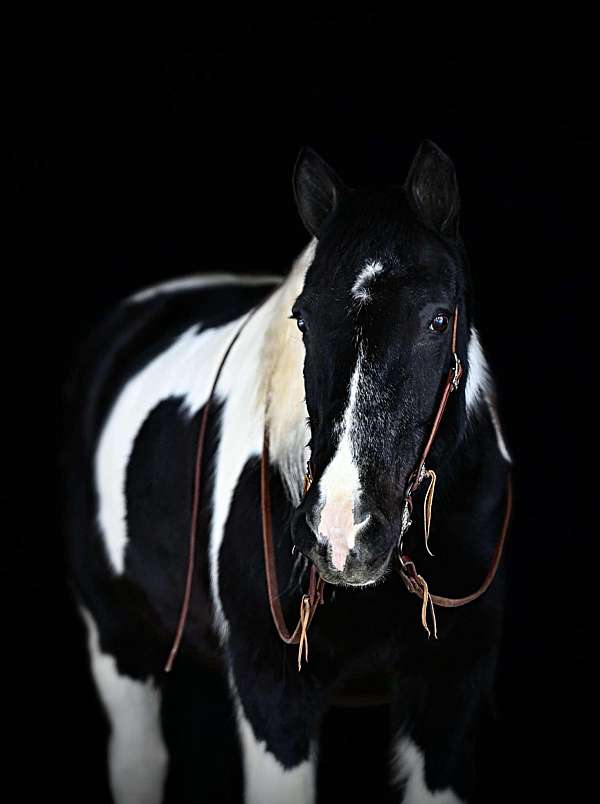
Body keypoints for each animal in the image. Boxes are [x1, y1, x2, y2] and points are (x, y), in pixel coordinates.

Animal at [67, 141, 516, 800]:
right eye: (302, 319)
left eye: (437, 320)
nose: (341, 534)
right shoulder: (273, 698)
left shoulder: (449, 699)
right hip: (117, 643)